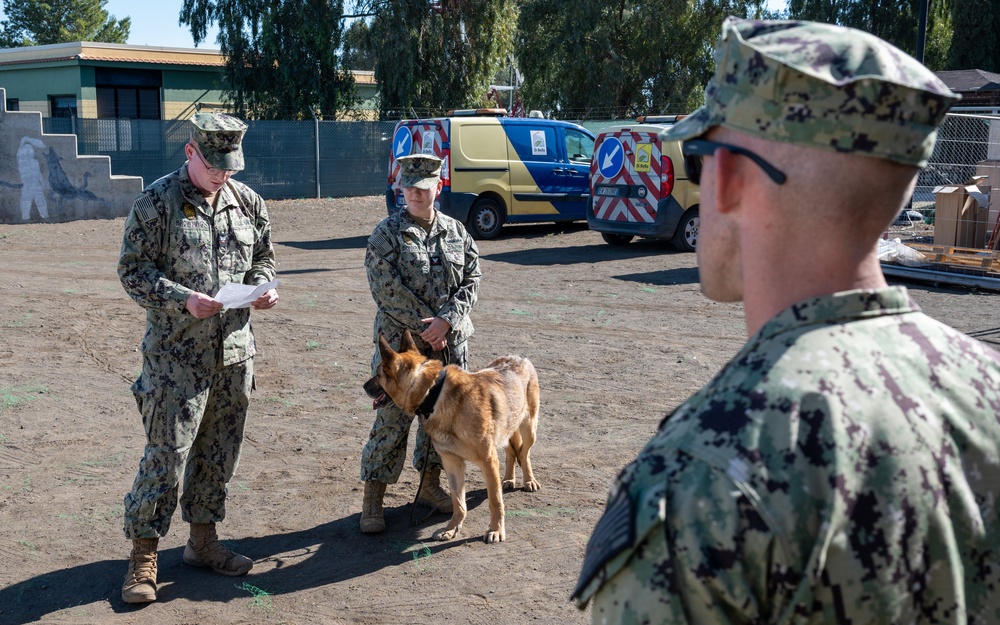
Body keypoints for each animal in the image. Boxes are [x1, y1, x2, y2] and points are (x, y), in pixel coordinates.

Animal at [366, 332, 540, 540]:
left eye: (378, 374)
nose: (364, 386)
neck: (433, 394)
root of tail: (519, 357)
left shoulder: (488, 460)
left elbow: (495, 500)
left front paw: (496, 530)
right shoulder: (452, 462)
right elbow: (458, 502)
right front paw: (451, 528)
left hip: (529, 429)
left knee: (524, 453)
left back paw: (529, 481)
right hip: (506, 432)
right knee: (512, 453)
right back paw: (508, 479)